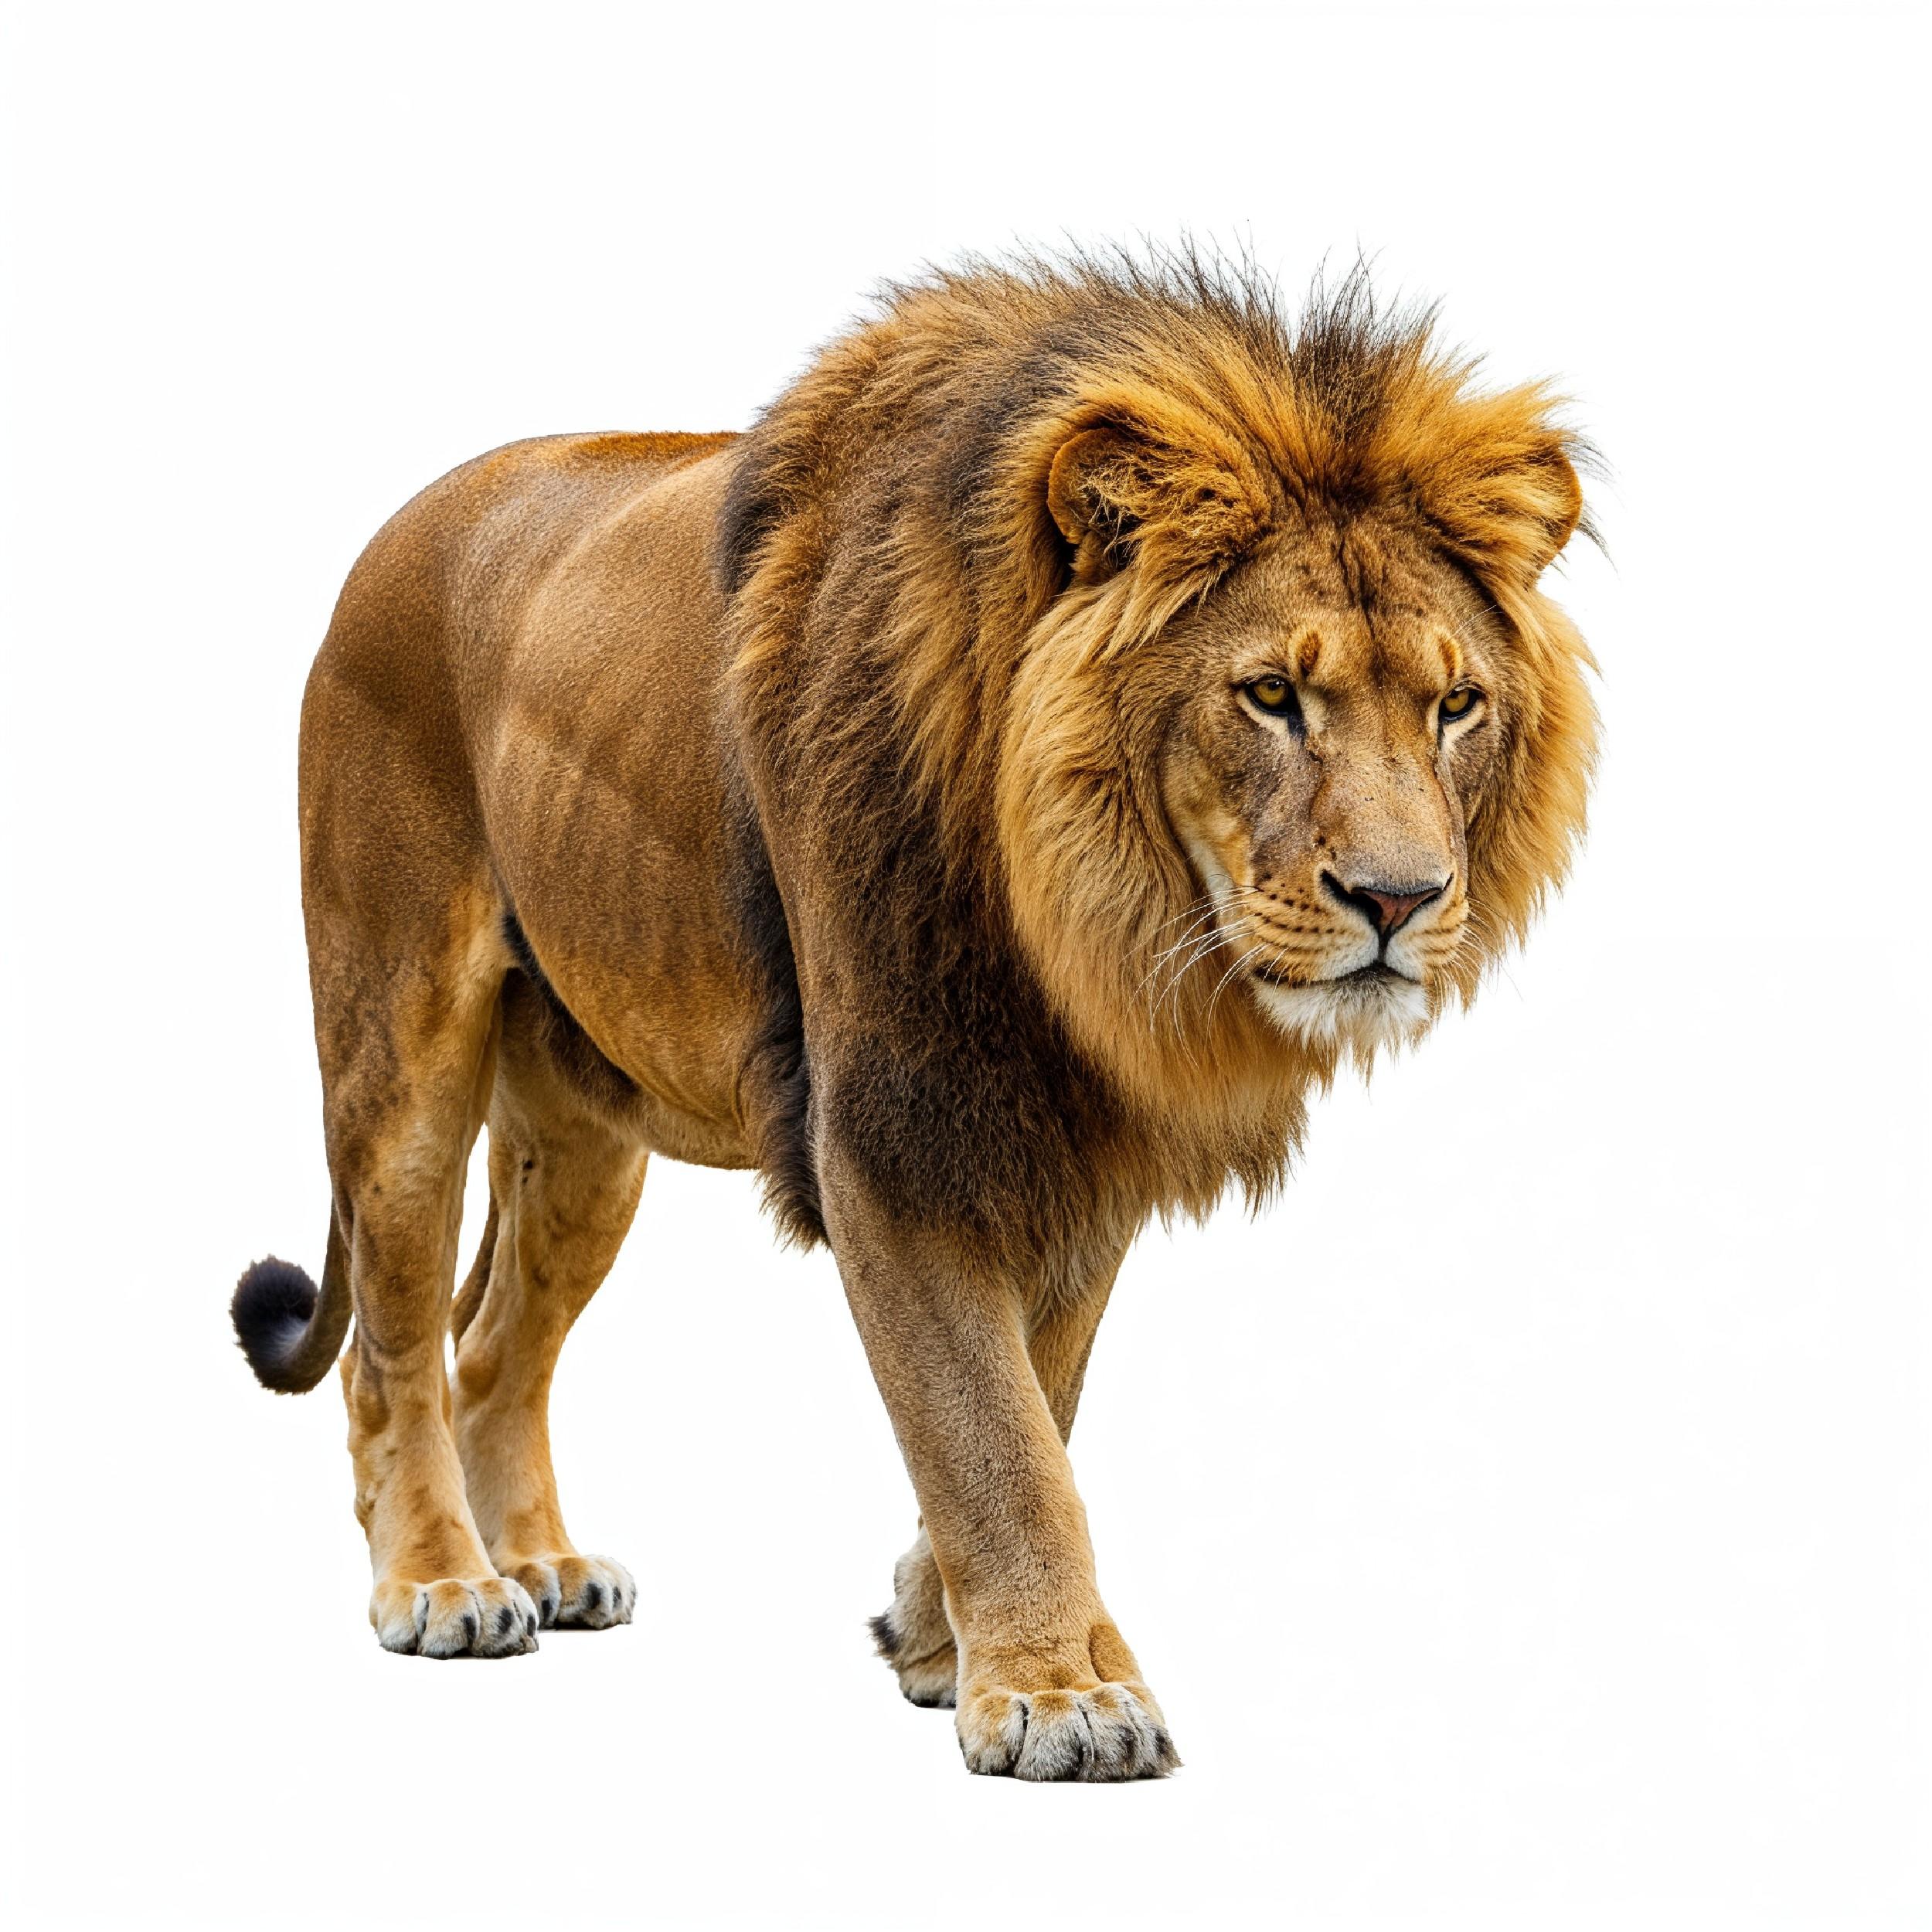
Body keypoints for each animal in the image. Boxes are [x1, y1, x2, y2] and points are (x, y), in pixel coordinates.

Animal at [231, 249, 1596, 1782]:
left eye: (1455, 706)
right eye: (1270, 695)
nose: (1401, 899)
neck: (1088, 929)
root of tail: (395, 527)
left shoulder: (1080, 1139)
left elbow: (1041, 1400)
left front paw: (946, 1636)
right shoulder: (888, 1131)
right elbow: (990, 1432)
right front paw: (1058, 1697)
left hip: (590, 1138)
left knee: (493, 1349)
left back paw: (543, 1565)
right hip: (398, 1051)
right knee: (391, 1349)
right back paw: (442, 1584)